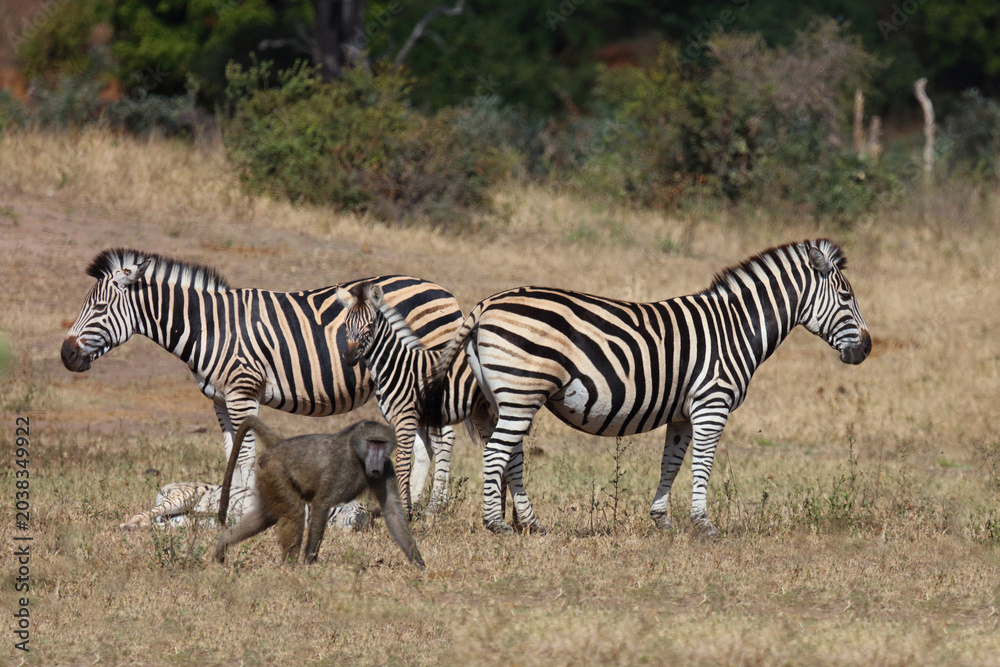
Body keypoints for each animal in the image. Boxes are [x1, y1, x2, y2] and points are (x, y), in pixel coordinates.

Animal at [62, 248, 463, 524]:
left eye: (99, 308)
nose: (66, 355)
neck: (210, 328)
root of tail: (445, 292)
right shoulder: (221, 400)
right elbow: (232, 456)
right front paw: (229, 507)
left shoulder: (243, 393)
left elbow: (243, 456)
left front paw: (237, 510)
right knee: (425, 441)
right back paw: (410, 506)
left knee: (443, 438)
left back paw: (434, 509)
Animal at [213, 417, 425, 568]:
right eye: (372, 442)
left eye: (381, 444)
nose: (375, 465)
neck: (358, 456)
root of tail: (279, 445)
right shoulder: (342, 467)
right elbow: (322, 503)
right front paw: (309, 562)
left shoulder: (387, 467)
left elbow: (392, 512)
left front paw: (419, 564)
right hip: (274, 472)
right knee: (295, 512)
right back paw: (290, 567)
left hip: (268, 478)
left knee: (266, 515)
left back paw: (223, 544)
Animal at [335, 281, 520, 520]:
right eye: (346, 324)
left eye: (370, 325)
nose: (349, 357)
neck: (396, 365)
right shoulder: (410, 420)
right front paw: (410, 508)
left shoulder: (405, 419)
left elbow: (403, 464)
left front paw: (405, 512)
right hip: (485, 411)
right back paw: (504, 511)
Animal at [421, 240, 871, 535]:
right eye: (846, 296)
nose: (866, 349)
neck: (736, 328)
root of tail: (486, 303)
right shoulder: (712, 403)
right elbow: (703, 463)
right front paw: (703, 523)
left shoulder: (683, 412)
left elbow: (671, 463)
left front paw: (662, 519)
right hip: (521, 392)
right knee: (498, 452)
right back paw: (496, 524)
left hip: (507, 397)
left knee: (509, 454)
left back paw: (531, 523)